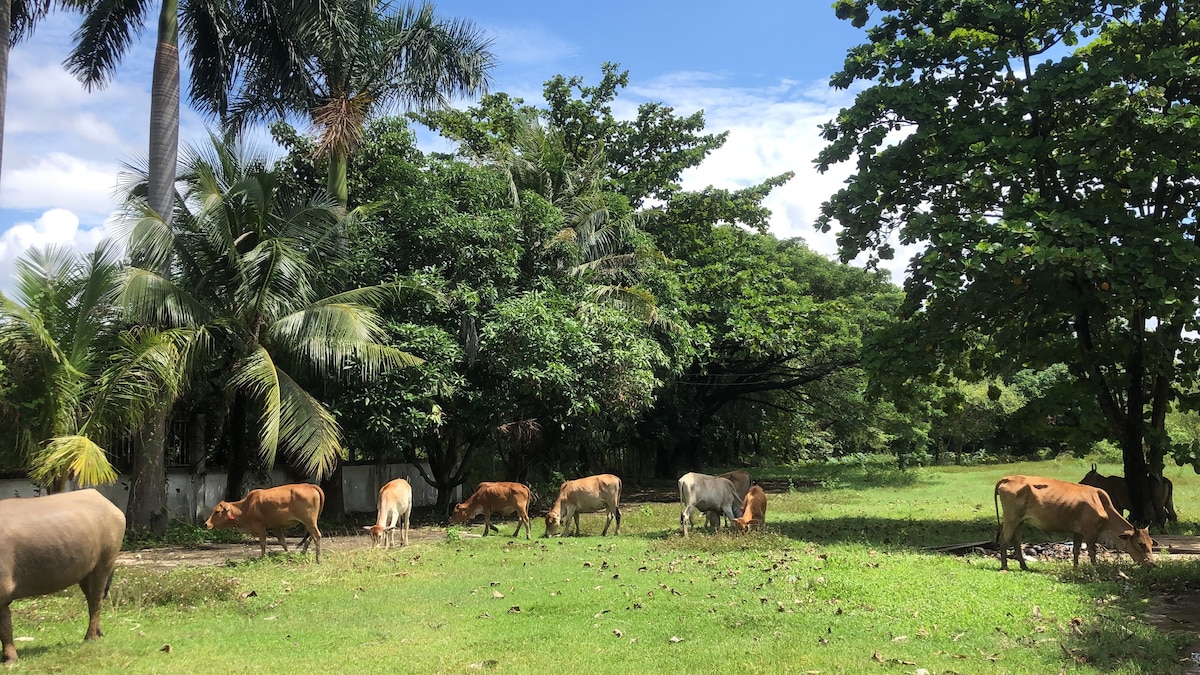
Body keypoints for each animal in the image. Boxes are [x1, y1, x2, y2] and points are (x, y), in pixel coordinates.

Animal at [0, 485, 126, 658]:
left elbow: (5, 626)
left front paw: (10, 658)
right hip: (86, 571)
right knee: (92, 598)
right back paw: (99, 633)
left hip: (104, 563)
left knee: (96, 601)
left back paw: (91, 638)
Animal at [993, 473, 1152, 566]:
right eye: (1140, 543)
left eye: (1151, 543)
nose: (1151, 563)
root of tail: (1008, 478)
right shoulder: (1089, 532)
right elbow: (1092, 551)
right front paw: (1096, 569)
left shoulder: (1078, 532)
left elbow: (1076, 550)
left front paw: (1076, 568)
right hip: (1011, 518)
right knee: (1004, 540)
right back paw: (1004, 566)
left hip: (1020, 521)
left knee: (1016, 541)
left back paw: (1024, 566)